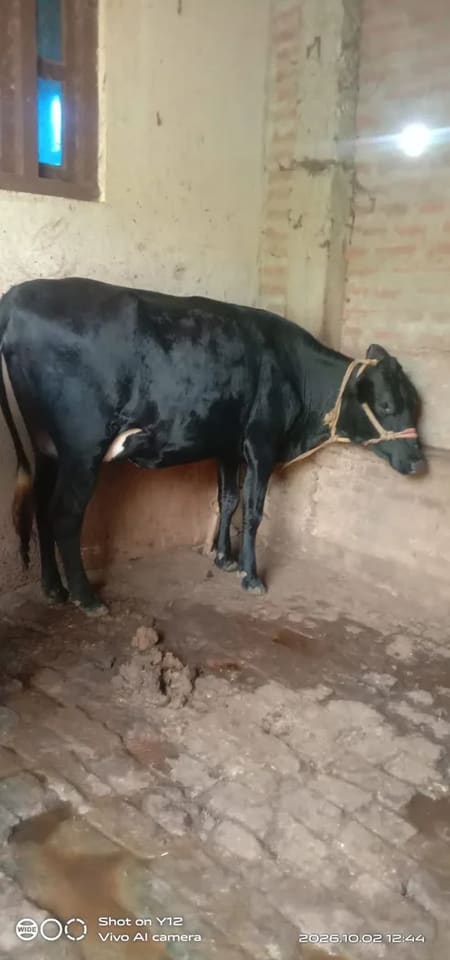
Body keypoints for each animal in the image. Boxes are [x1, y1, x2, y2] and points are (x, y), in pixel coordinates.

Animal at [0, 277, 426, 615]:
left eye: (415, 403)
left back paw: (53, 588)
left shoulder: (229, 447)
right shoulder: (261, 444)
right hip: (82, 449)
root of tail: (18, 294)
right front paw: (251, 575)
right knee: (64, 515)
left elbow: (228, 500)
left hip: (46, 446)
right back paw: (86, 597)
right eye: (387, 405)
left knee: (40, 507)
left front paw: (224, 557)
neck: (294, 371)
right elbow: (253, 511)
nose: (418, 462)